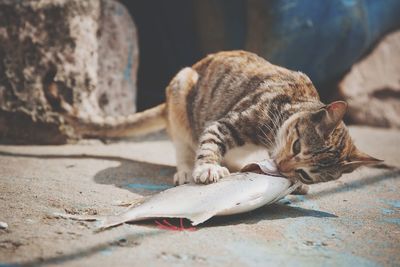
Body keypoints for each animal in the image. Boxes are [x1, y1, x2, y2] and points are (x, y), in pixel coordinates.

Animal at [58, 50, 382, 193]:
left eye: (306, 172)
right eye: (297, 145)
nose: (282, 166)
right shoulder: (229, 121)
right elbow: (211, 140)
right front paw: (208, 168)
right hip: (181, 89)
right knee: (183, 145)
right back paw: (187, 169)